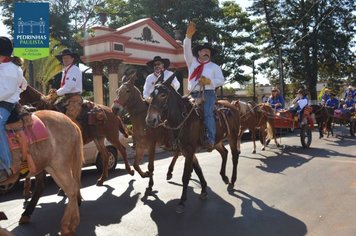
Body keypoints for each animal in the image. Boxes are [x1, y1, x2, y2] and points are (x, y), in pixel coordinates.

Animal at [145, 74, 242, 214]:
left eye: (163, 95)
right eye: (152, 94)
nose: (150, 120)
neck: (184, 120)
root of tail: (232, 106)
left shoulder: (190, 150)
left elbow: (186, 175)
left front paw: (182, 201)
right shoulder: (185, 150)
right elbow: (197, 169)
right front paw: (204, 190)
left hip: (233, 137)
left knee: (234, 157)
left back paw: (232, 181)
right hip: (216, 141)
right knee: (224, 153)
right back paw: (224, 176)